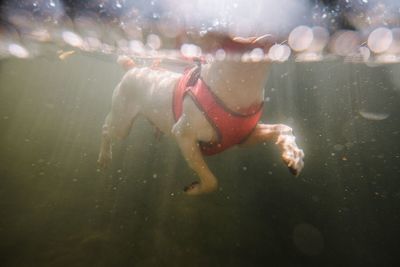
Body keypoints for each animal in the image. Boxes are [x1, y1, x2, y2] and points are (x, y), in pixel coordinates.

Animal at [97, 34, 304, 196]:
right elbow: (211, 180)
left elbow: (283, 128)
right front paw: (195, 189)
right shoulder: (184, 136)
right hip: (122, 123)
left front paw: (294, 155)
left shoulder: (244, 137)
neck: (242, 88)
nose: (274, 37)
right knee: (106, 128)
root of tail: (133, 68)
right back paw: (105, 156)